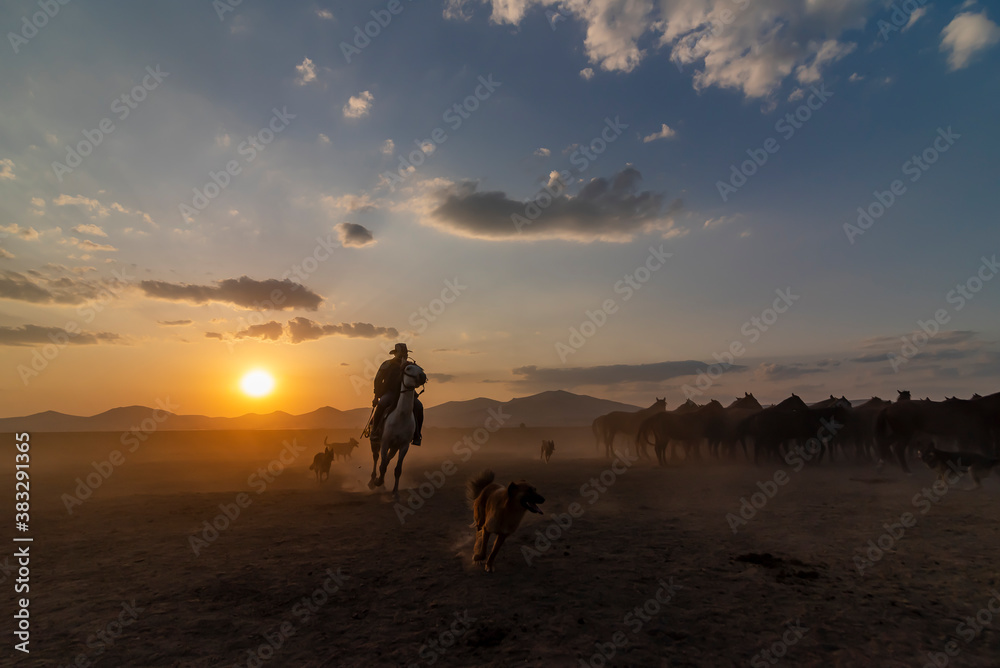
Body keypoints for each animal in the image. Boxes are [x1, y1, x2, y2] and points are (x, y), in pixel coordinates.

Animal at [372, 366, 426, 496]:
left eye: (421, 368)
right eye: (408, 368)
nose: (423, 376)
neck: (401, 416)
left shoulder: (404, 446)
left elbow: (397, 469)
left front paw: (395, 492)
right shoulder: (385, 443)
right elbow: (382, 466)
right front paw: (378, 482)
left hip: (394, 447)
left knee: (387, 460)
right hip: (376, 442)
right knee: (376, 458)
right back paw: (372, 481)